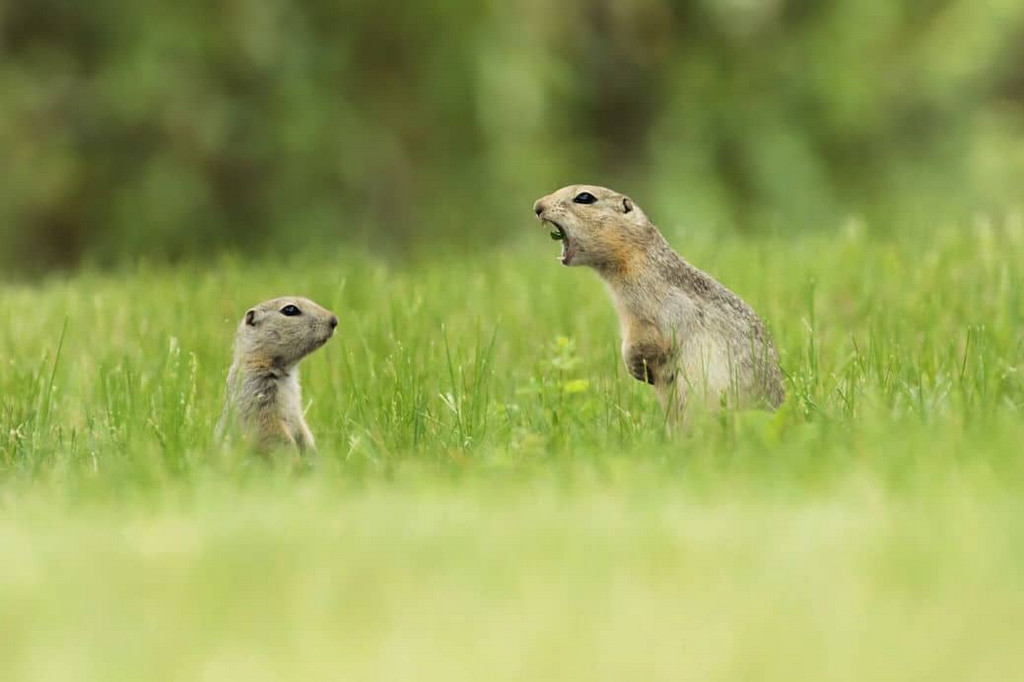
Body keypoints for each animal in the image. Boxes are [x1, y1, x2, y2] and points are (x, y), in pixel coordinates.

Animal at [218, 292, 337, 448]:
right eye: (290, 310)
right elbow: (271, 431)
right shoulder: (256, 392)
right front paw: (293, 454)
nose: (334, 320)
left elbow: (302, 427)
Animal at [532, 183, 778, 417]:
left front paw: (637, 369)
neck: (635, 259)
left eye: (584, 197)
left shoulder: (654, 310)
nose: (537, 206)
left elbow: (652, 340)